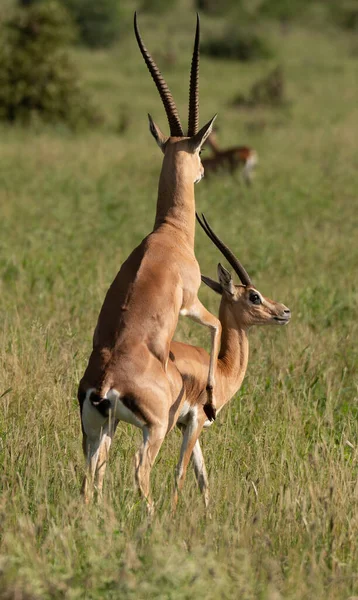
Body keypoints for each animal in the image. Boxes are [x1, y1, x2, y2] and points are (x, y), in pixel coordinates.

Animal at [79, 14, 221, 508]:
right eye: (198, 150)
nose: (204, 172)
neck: (169, 233)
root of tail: (105, 382)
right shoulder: (191, 303)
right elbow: (216, 326)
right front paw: (211, 399)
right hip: (152, 430)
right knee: (140, 471)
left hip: (97, 431)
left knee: (90, 476)